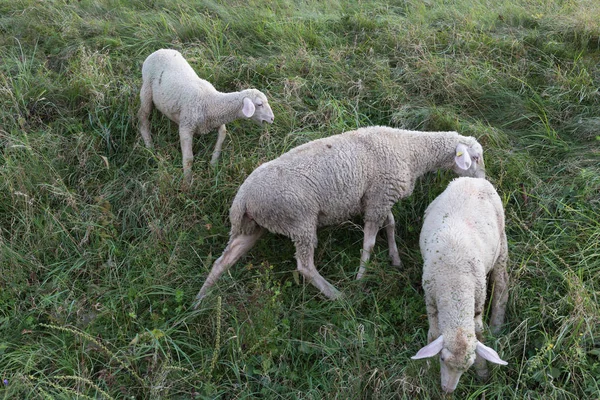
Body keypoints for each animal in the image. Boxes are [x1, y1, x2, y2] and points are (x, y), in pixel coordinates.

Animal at [138, 48, 274, 184]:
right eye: (259, 104)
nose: (272, 118)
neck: (210, 101)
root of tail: (160, 50)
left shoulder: (217, 121)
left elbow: (222, 135)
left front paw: (213, 164)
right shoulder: (186, 126)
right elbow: (188, 158)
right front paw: (187, 181)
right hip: (146, 90)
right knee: (142, 117)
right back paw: (149, 146)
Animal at [195, 126, 486, 304]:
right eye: (476, 158)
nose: (485, 181)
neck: (410, 150)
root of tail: (242, 199)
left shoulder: (378, 198)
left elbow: (391, 224)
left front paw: (395, 259)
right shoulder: (379, 198)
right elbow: (369, 242)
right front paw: (360, 278)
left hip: (255, 225)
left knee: (224, 260)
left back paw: (200, 299)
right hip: (299, 219)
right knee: (305, 266)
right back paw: (337, 295)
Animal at [412, 177, 510, 394]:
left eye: (468, 367)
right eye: (441, 358)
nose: (447, 390)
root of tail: (474, 179)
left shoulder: (477, 304)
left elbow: (479, 333)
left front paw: (482, 372)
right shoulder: (430, 300)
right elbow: (433, 334)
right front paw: (427, 368)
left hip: (502, 242)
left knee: (502, 285)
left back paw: (497, 324)